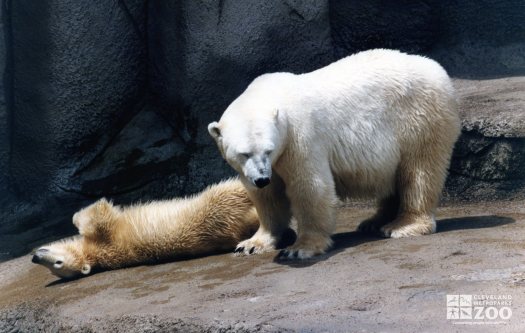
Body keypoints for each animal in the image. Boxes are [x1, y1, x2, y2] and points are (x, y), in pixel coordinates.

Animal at [32, 179, 258, 278]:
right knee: (229, 191)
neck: (93, 254)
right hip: (212, 213)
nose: (35, 257)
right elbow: (100, 213)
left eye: (57, 264)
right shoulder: (108, 236)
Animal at [209, 48, 458, 260]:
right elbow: (268, 197)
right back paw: (374, 221)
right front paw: (251, 244)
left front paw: (300, 249)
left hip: (419, 119)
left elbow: (310, 187)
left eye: (268, 150)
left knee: (419, 172)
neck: (270, 95)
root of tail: (439, 71)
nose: (262, 178)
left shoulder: (300, 137)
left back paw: (402, 225)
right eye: (244, 154)